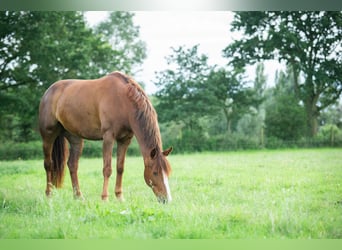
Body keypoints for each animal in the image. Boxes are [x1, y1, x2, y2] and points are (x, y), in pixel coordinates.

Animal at [38, 71, 172, 203]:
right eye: (155, 173)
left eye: (168, 172)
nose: (166, 200)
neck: (122, 101)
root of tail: (49, 92)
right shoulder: (108, 137)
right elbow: (107, 169)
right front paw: (104, 198)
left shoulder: (124, 140)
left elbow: (120, 168)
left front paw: (120, 197)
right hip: (48, 135)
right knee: (48, 164)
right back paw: (49, 195)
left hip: (75, 138)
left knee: (72, 165)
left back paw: (78, 197)